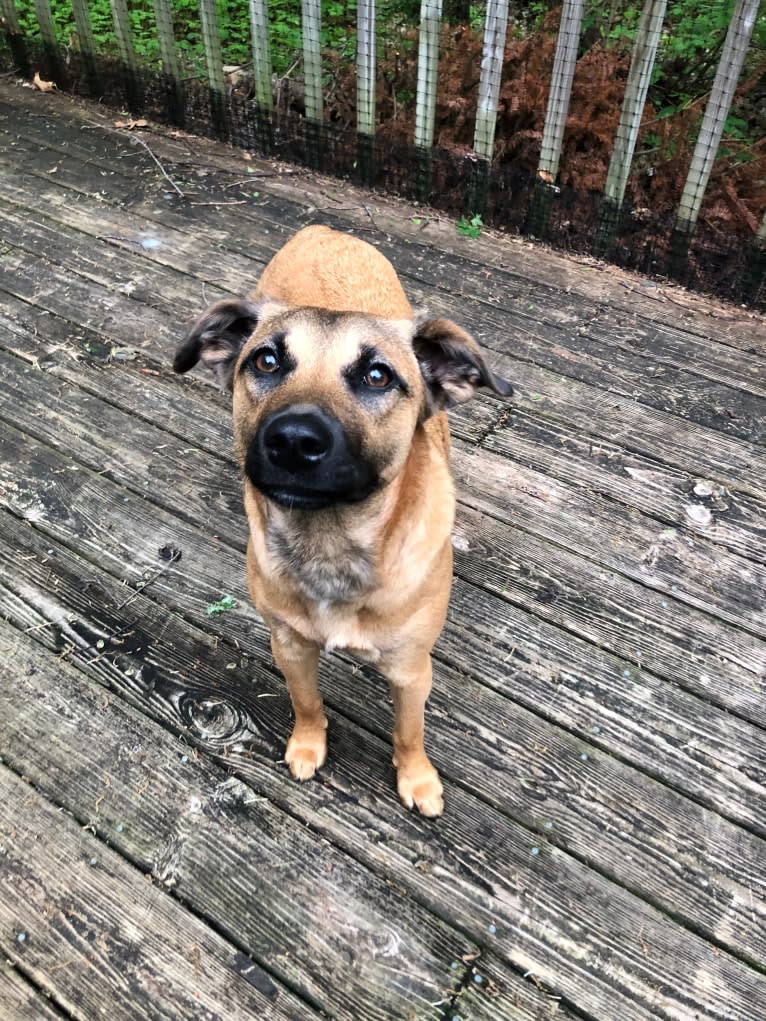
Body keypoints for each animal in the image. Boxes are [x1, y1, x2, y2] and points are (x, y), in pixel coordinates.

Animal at [176, 223, 512, 812]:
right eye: (265, 362)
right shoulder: (288, 644)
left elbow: (409, 732)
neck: (330, 541)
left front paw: (417, 780)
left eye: (378, 375)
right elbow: (306, 702)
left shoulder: (412, 669)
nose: (292, 440)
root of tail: (324, 229)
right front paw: (308, 746)